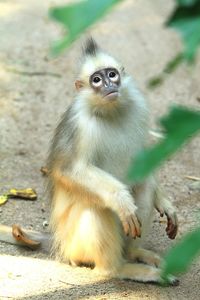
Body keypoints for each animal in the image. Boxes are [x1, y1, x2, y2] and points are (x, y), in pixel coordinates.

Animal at [0, 38, 178, 284]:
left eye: (112, 74)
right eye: (96, 80)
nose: (108, 85)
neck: (110, 112)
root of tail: (60, 244)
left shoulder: (137, 110)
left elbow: (142, 159)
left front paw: (165, 202)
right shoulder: (80, 125)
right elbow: (69, 170)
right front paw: (122, 200)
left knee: (144, 184)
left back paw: (134, 253)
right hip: (76, 246)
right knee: (97, 207)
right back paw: (120, 269)